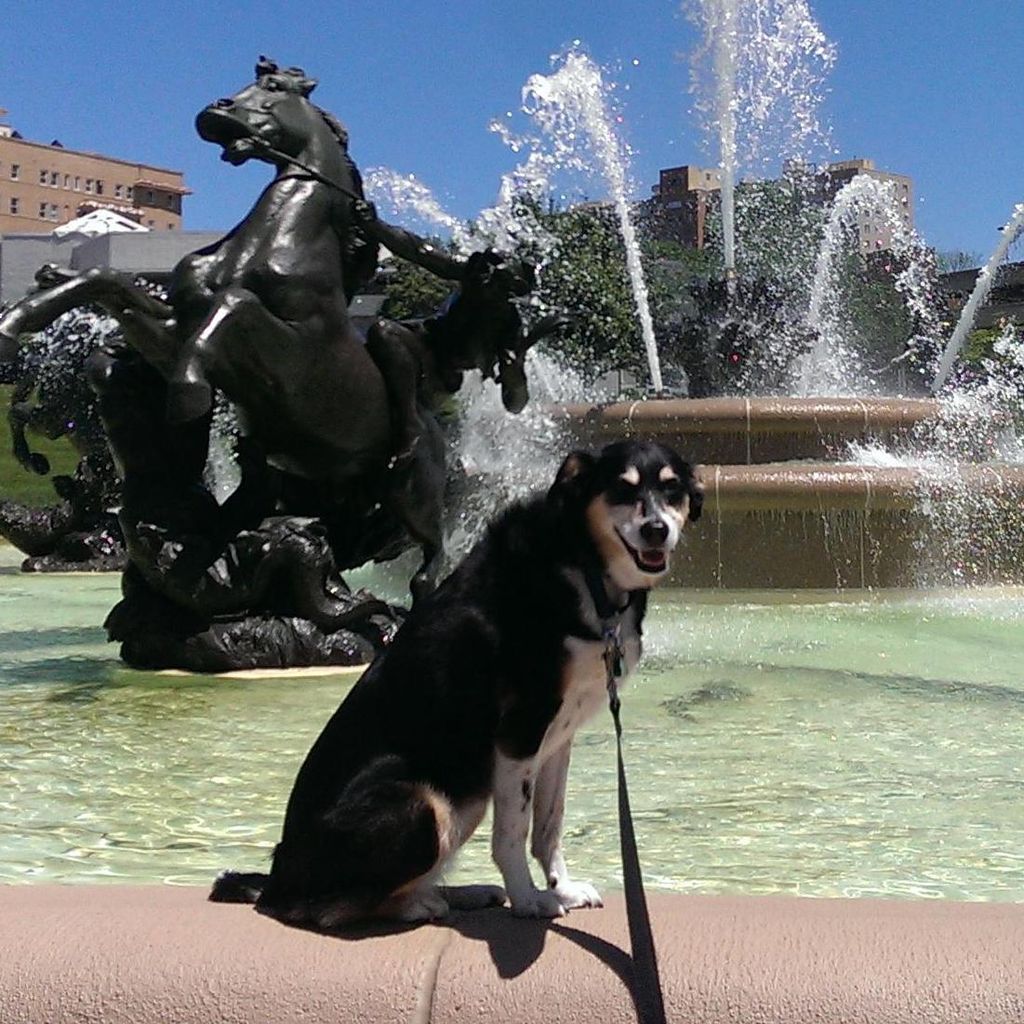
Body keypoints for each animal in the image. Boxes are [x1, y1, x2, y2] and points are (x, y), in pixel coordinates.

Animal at [210, 440, 702, 925]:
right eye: (622, 488)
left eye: (672, 490)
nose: (656, 530)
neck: (583, 566)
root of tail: (278, 877)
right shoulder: (519, 733)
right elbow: (513, 833)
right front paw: (530, 900)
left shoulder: (558, 738)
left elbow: (549, 826)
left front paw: (561, 887)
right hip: (422, 801)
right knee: (324, 908)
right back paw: (424, 903)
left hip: (463, 799)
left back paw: (462, 893)